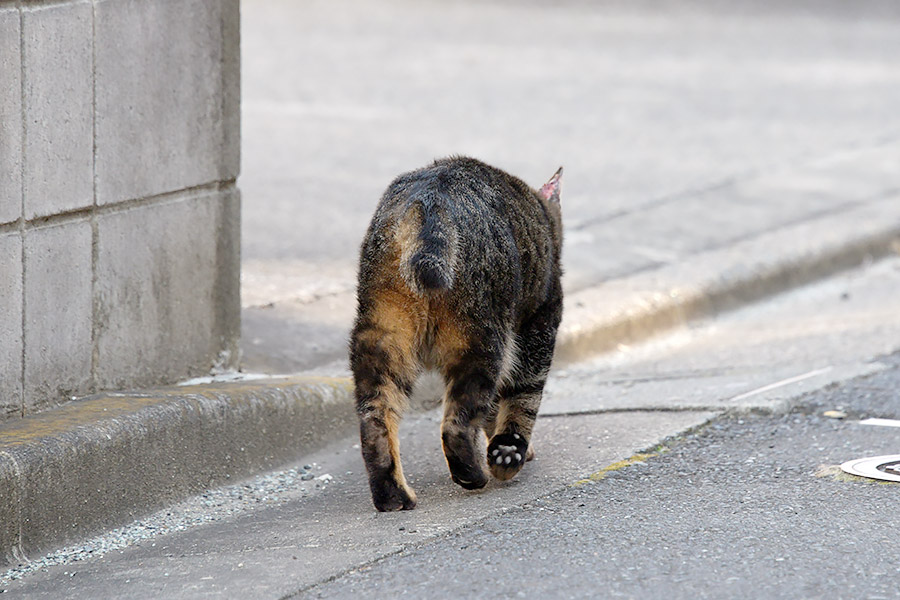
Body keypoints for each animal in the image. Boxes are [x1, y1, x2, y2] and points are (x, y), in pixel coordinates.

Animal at [350, 156, 564, 510]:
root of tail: (429, 201)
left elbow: (496, 409)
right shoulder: (539, 328)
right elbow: (521, 402)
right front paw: (509, 454)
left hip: (382, 336)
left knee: (375, 420)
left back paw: (394, 497)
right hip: (482, 341)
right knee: (456, 425)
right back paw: (473, 474)